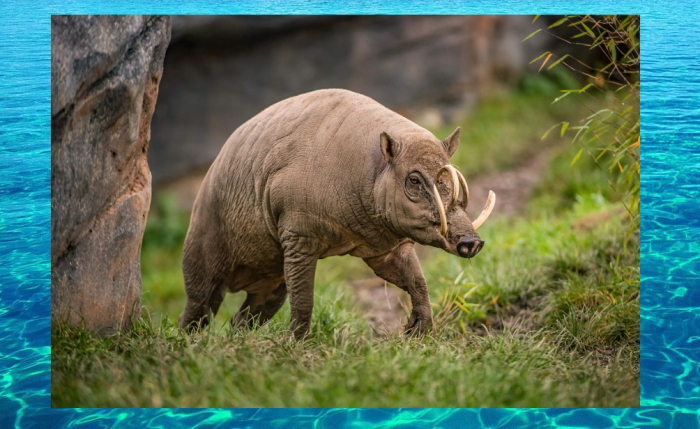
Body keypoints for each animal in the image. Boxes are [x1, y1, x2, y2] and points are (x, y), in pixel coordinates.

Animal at [178, 89, 494, 338]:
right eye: (414, 180)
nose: (472, 241)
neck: (367, 173)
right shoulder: (298, 238)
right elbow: (304, 299)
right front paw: (297, 344)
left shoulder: (386, 246)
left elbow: (417, 280)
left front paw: (419, 330)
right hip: (202, 258)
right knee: (196, 309)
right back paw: (186, 343)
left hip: (270, 280)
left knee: (241, 319)